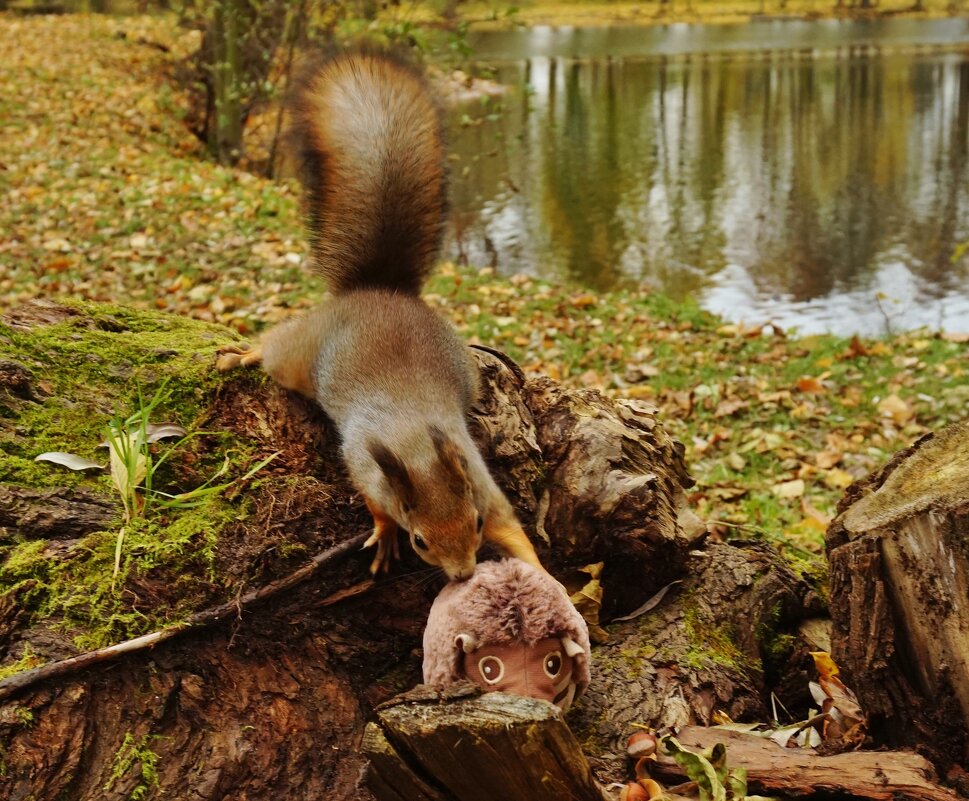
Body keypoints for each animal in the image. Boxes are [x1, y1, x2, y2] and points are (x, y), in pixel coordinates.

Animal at [215, 51, 540, 580]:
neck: (413, 441)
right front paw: (386, 536)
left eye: (474, 524)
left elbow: (512, 528)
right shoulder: (365, 466)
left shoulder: (478, 478)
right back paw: (245, 353)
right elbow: (376, 505)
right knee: (276, 346)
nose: (463, 574)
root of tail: (380, 289)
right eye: (421, 541)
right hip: (300, 355)